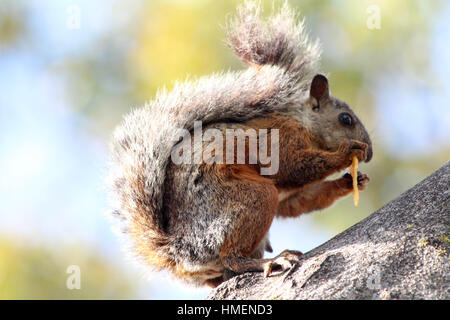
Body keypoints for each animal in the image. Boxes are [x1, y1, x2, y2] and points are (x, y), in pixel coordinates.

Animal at [106, 1, 372, 288]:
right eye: (345, 119)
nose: (369, 153)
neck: (303, 123)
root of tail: (181, 253)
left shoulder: (291, 195)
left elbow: (302, 200)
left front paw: (351, 181)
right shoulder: (280, 138)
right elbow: (296, 166)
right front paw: (347, 152)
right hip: (250, 197)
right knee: (232, 258)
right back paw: (271, 261)